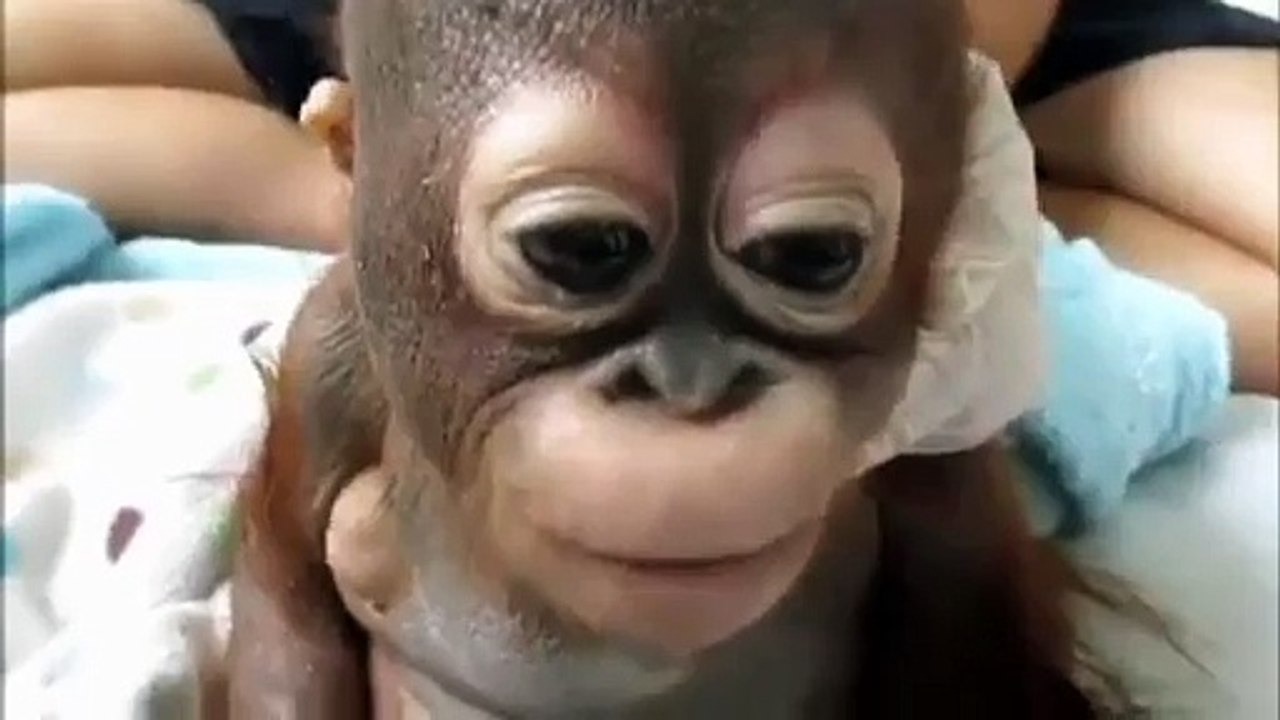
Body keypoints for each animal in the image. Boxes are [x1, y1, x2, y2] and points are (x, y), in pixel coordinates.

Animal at [228, 0, 1129, 717]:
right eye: (581, 247)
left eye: (812, 255)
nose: (689, 384)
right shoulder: (327, 361)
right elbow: (286, 604)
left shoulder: (940, 458)